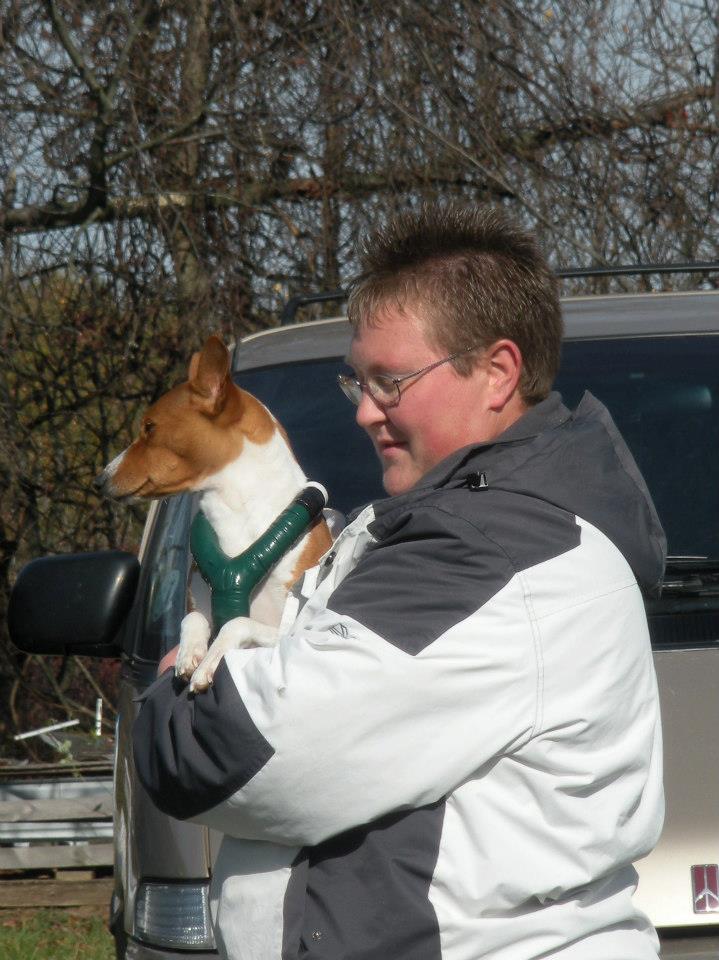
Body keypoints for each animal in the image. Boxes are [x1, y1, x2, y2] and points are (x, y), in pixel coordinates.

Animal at [95, 334, 334, 688]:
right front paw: (190, 654)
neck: (237, 517)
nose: (99, 480)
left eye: (150, 427)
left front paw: (209, 662)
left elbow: (236, 624)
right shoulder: (199, 603)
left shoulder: (289, 632)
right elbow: (192, 618)